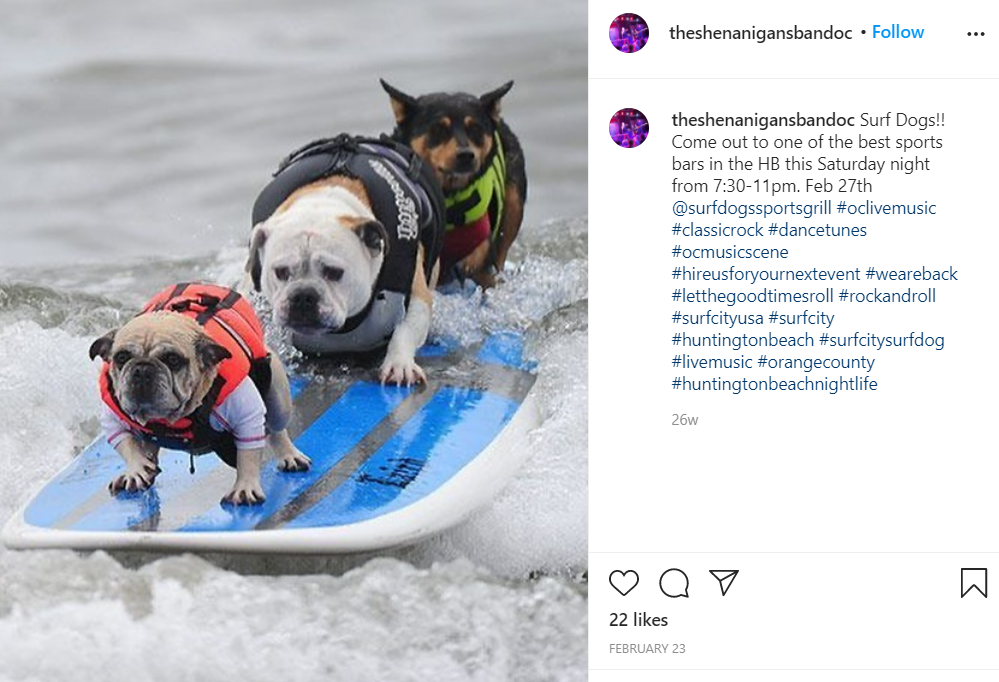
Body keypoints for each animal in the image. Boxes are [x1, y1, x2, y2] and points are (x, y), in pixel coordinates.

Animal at [378, 79, 528, 286]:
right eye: (439, 129)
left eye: (475, 129)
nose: (466, 155)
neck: (448, 195)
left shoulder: (479, 253)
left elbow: (477, 265)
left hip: (514, 201)